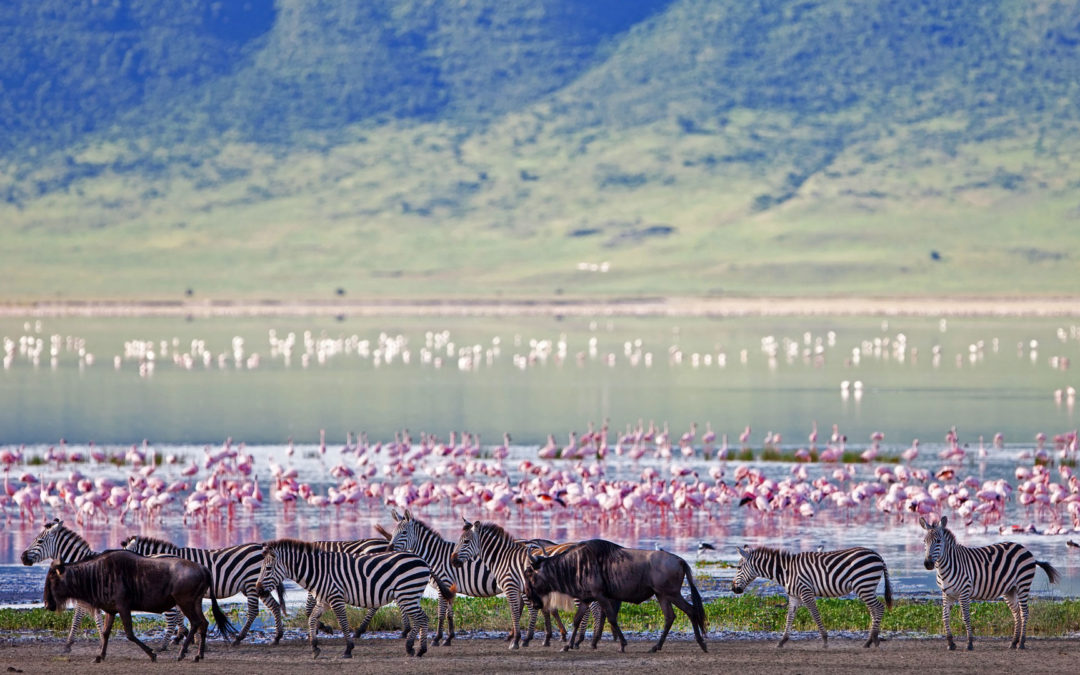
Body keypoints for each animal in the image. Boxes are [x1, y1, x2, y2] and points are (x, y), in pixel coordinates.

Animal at [20, 518, 105, 652]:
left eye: (39, 541)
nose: (22, 557)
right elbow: (97, 619)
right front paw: (103, 643)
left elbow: (77, 618)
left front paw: (68, 645)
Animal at [122, 533, 287, 643]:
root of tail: (261, 547)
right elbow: (181, 614)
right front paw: (185, 634)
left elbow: (180, 614)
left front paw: (183, 635)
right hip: (257, 586)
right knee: (274, 605)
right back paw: (278, 635)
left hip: (252, 583)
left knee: (253, 611)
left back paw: (239, 638)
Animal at [252, 540, 447, 656]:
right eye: (261, 569)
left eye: (267, 569)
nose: (258, 590)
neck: (319, 571)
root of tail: (422, 560)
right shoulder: (324, 600)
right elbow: (312, 619)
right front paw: (315, 646)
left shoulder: (336, 598)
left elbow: (343, 622)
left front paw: (348, 648)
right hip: (409, 595)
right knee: (421, 618)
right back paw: (412, 647)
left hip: (407, 593)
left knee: (422, 618)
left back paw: (419, 649)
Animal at [734, 542, 894, 648]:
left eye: (738, 567)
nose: (733, 589)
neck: (786, 571)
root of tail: (877, 555)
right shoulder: (794, 596)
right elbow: (789, 617)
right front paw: (782, 641)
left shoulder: (806, 592)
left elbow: (815, 614)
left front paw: (825, 640)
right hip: (867, 587)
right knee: (873, 610)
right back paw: (871, 640)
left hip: (863, 585)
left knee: (879, 608)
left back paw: (871, 640)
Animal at [920, 514, 1062, 652]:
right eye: (924, 541)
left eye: (938, 541)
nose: (928, 564)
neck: (945, 568)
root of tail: (1025, 549)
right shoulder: (946, 594)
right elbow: (945, 617)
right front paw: (951, 643)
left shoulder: (964, 592)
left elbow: (966, 617)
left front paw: (969, 643)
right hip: (1010, 590)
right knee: (1016, 612)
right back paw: (1013, 642)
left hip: (1023, 584)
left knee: (1024, 612)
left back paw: (1021, 643)